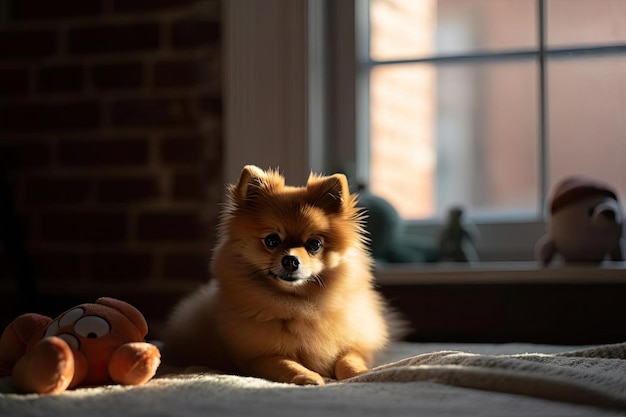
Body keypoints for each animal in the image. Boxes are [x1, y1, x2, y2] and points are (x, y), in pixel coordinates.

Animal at [162, 165, 394, 384]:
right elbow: (286, 364)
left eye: (314, 244)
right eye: (271, 240)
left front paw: (361, 374)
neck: (301, 305)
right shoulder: (260, 357)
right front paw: (307, 377)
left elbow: (350, 359)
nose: (290, 260)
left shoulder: (355, 344)